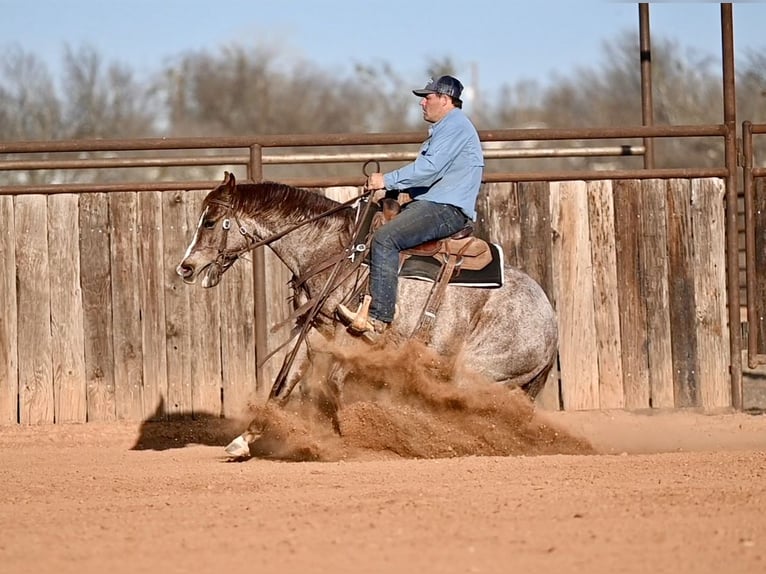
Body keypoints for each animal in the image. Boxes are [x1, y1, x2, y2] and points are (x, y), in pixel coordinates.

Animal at [176, 172, 558, 457]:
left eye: (210, 222)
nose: (185, 268)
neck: (333, 252)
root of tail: (551, 320)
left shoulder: (351, 339)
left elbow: (333, 385)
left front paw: (346, 437)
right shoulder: (313, 331)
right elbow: (283, 384)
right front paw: (245, 439)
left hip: (478, 370)